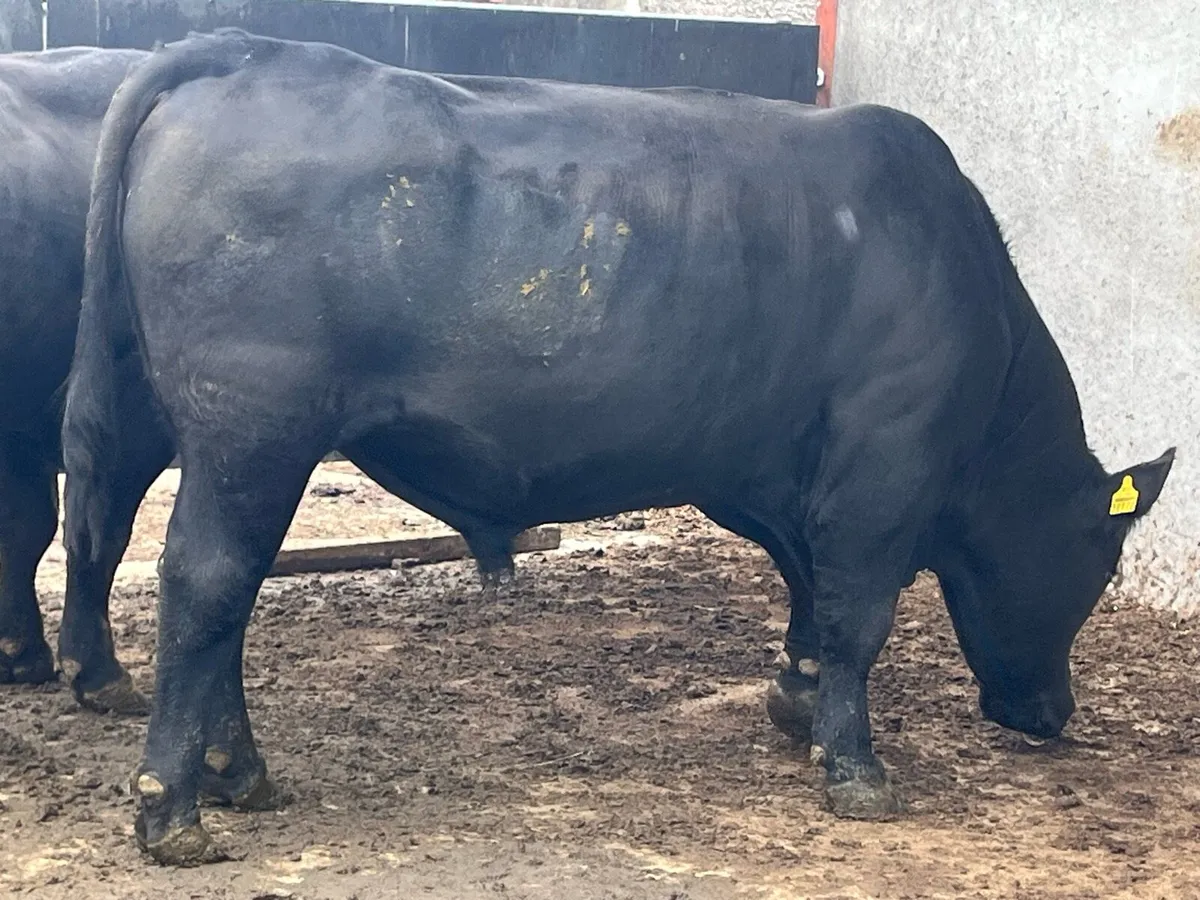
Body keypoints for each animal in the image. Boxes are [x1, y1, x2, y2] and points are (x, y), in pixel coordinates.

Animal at [61, 28, 1174, 866]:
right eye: (1101, 564)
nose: (1052, 714)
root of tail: (250, 51)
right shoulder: (881, 470)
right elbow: (859, 617)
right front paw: (854, 767)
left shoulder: (772, 469)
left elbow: (807, 591)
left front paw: (795, 699)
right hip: (254, 431)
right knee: (207, 582)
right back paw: (172, 808)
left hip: (190, 425)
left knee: (207, 581)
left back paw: (237, 772)